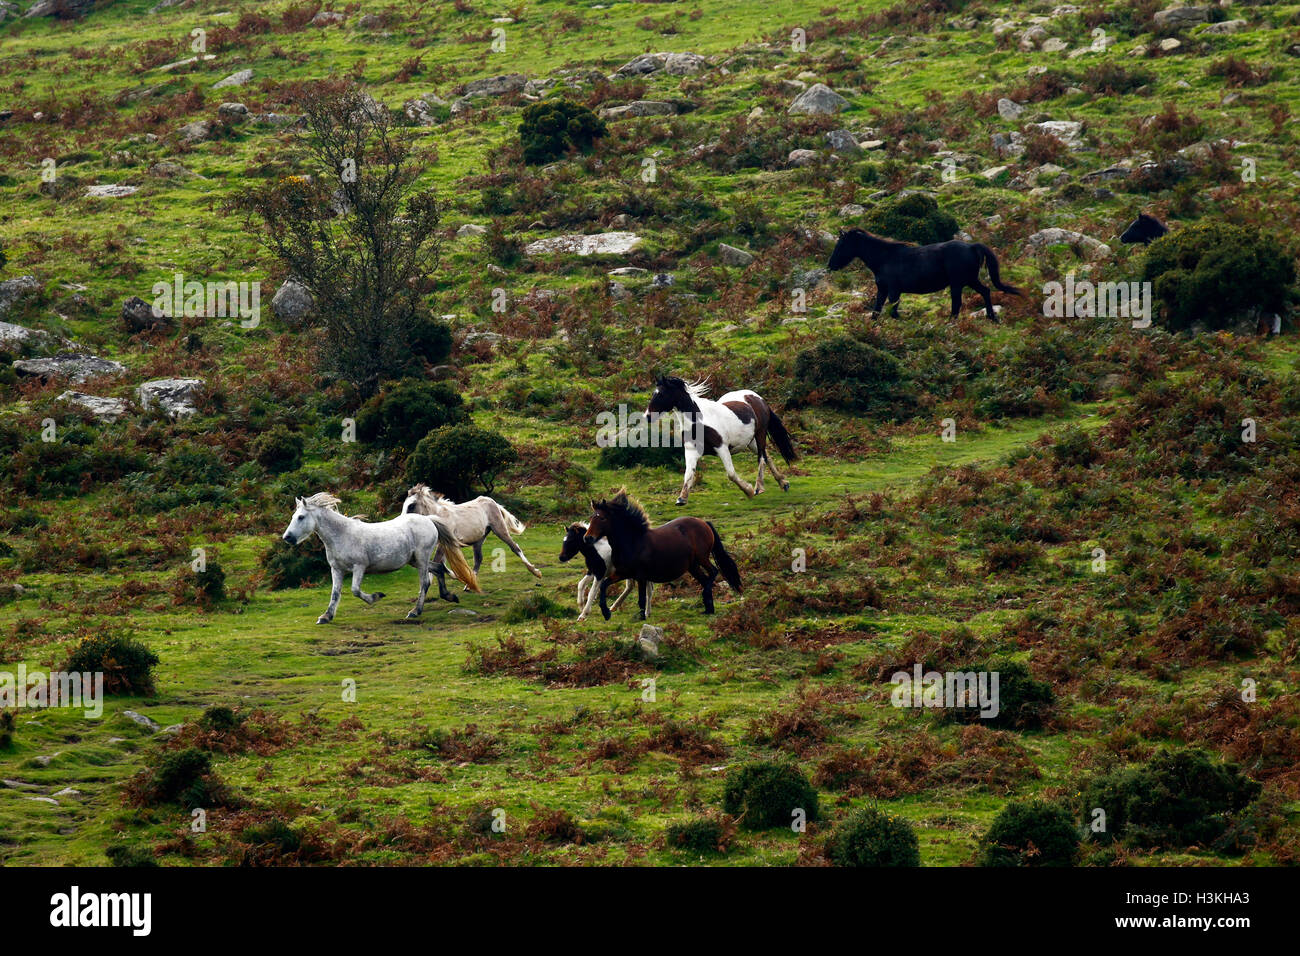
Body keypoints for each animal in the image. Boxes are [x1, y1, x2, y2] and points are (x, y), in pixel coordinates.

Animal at [280, 492, 480, 624]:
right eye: (293, 516)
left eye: (301, 517)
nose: (287, 537)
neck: (342, 534)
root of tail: (429, 519)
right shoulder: (336, 569)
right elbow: (335, 593)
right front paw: (326, 617)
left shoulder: (359, 566)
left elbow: (355, 590)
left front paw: (376, 597)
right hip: (414, 560)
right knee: (438, 568)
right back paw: (449, 596)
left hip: (421, 558)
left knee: (425, 582)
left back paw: (415, 611)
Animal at [401, 484, 542, 602]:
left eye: (411, 505)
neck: (439, 517)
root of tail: (492, 501)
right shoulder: (445, 545)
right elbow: (439, 563)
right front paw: (454, 576)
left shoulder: (444, 544)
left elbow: (436, 562)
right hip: (478, 540)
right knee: (478, 559)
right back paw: (469, 585)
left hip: (500, 530)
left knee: (515, 548)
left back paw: (536, 572)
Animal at [584, 490, 742, 621]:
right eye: (591, 518)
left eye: (602, 518)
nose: (587, 538)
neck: (632, 542)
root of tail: (704, 522)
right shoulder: (623, 573)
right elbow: (604, 585)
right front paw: (606, 613)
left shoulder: (641, 575)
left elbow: (641, 598)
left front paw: (641, 617)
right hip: (692, 566)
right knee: (705, 579)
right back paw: (708, 609)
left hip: (702, 558)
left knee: (713, 572)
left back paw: (707, 601)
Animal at [645, 376, 797, 506]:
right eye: (653, 393)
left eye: (661, 394)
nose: (647, 416)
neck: (699, 422)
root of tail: (757, 397)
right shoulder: (691, 450)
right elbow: (688, 474)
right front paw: (681, 498)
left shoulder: (722, 448)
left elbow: (731, 474)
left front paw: (748, 491)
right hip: (750, 442)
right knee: (767, 456)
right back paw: (783, 483)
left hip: (760, 433)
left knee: (761, 458)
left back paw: (759, 487)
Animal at [827, 228, 1022, 319]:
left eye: (841, 244)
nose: (830, 266)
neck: (885, 258)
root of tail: (972, 246)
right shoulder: (882, 290)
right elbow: (876, 311)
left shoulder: (894, 290)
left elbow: (893, 312)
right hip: (970, 280)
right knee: (985, 291)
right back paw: (992, 317)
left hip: (958, 283)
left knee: (957, 304)